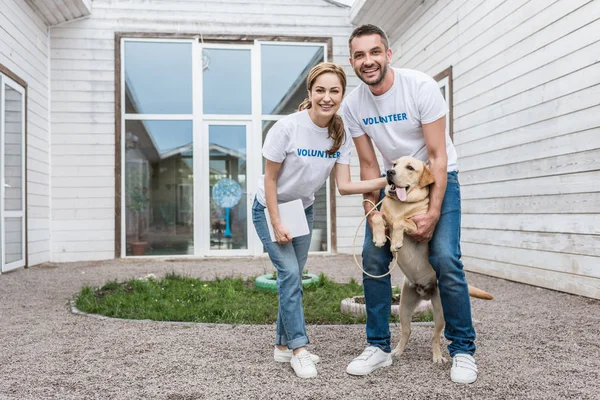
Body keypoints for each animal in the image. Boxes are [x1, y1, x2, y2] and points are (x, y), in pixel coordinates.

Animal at [370, 156, 492, 366]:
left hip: (440, 311)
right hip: (404, 308)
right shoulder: (384, 216)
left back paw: (437, 357)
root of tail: (424, 292)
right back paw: (396, 351)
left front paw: (396, 241)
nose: (390, 173)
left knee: (436, 336)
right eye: (394, 164)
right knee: (407, 331)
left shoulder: (421, 228)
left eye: (410, 168)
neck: (400, 205)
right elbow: (378, 217)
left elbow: (402, 222)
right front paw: (379, 238)